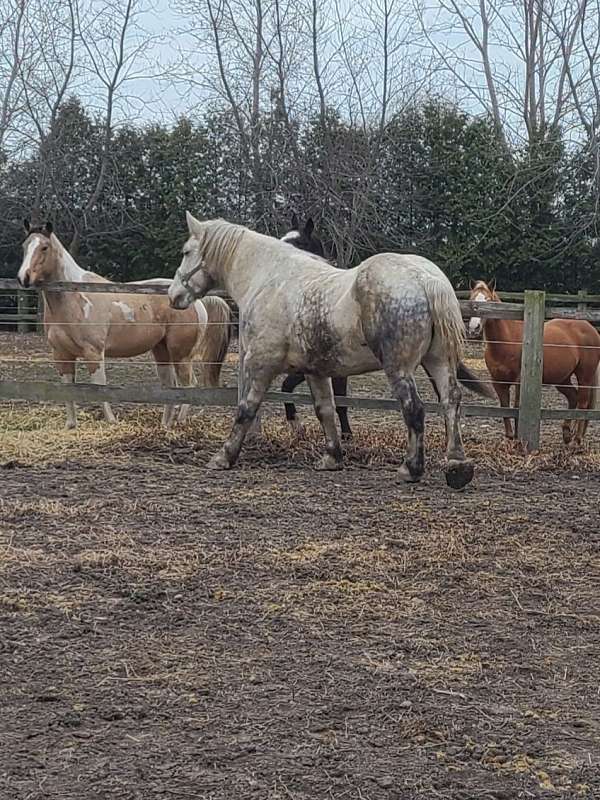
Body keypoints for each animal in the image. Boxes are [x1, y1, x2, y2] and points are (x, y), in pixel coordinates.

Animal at [17, 222, 231, 428]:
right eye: (25, 246)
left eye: (44, 247)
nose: (23, 278)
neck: (75, 296)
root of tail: (196, 302)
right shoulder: (61, 354)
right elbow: (67, 389)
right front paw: (71, 425)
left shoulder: (94, 353)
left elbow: (99, 387)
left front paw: (111, 422)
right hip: (162, 352)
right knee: (170, 386)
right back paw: (165, 424)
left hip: (181, 355)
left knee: (189, 384)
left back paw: (179, 421)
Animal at [468, 280, 600, 444]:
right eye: (471, 300)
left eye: (488, 300)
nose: (474, 328)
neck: (506, 341)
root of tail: (590, 328)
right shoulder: (497, 382)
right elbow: (504, 407)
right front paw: (510, 437)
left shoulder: (519, 381)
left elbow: (516, 406)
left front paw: (518, 439)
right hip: (562, 379)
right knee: (573, 398)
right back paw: (567, 434)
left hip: (584, 376)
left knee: (583, 403)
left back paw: (577, 438)